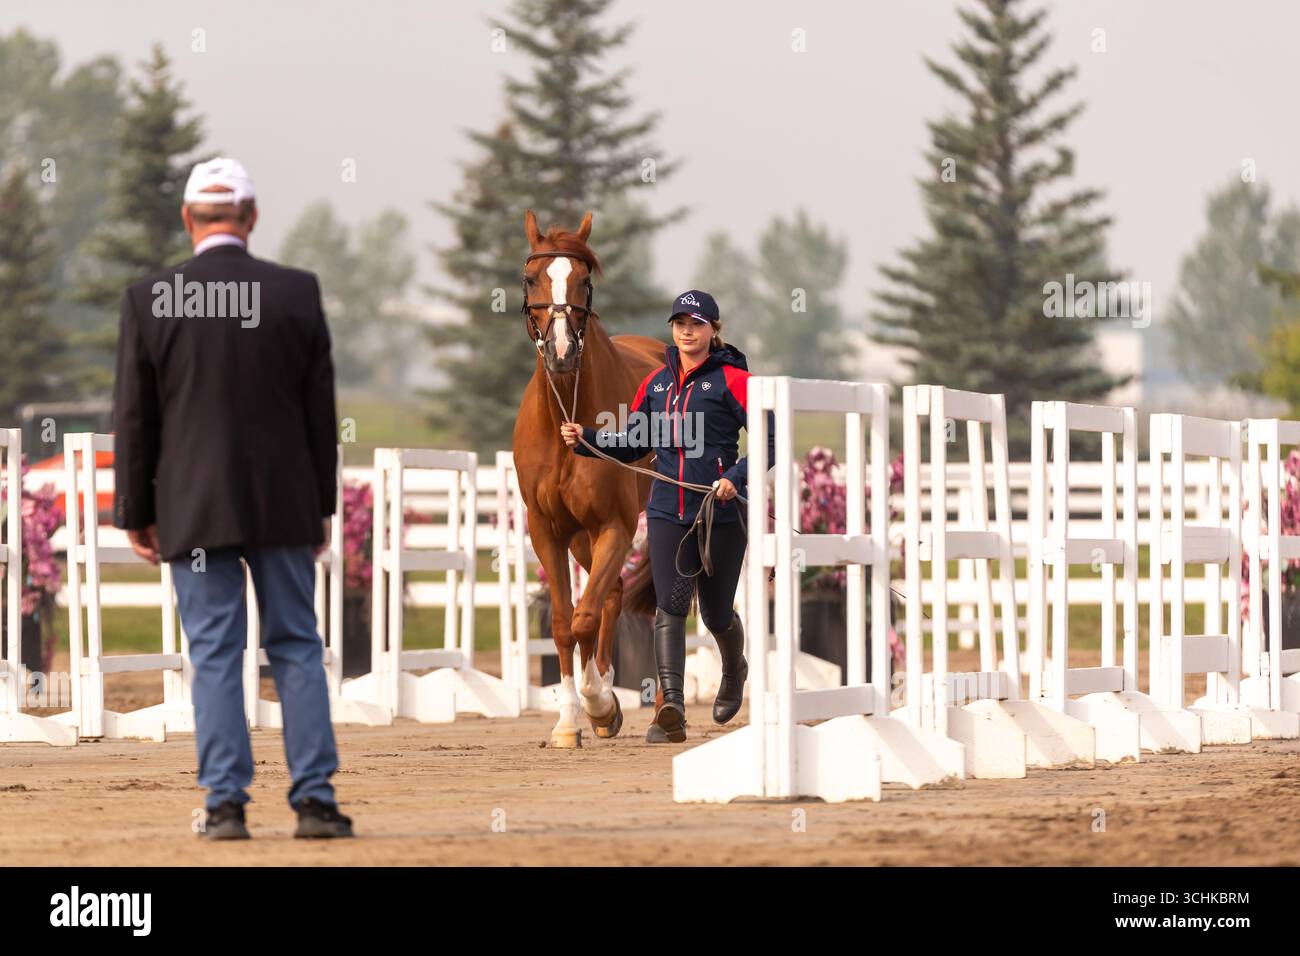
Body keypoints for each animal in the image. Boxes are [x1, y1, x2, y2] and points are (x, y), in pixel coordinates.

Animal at [512, 210, 663, 747]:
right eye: (531, 278)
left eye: (584, 279)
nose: (560, 351)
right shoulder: (547, 531)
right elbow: (562, 623)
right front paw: (568, 721)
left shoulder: (616, 526)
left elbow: (584, 618)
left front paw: (600, 704)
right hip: (581, 537)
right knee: (614, 592)